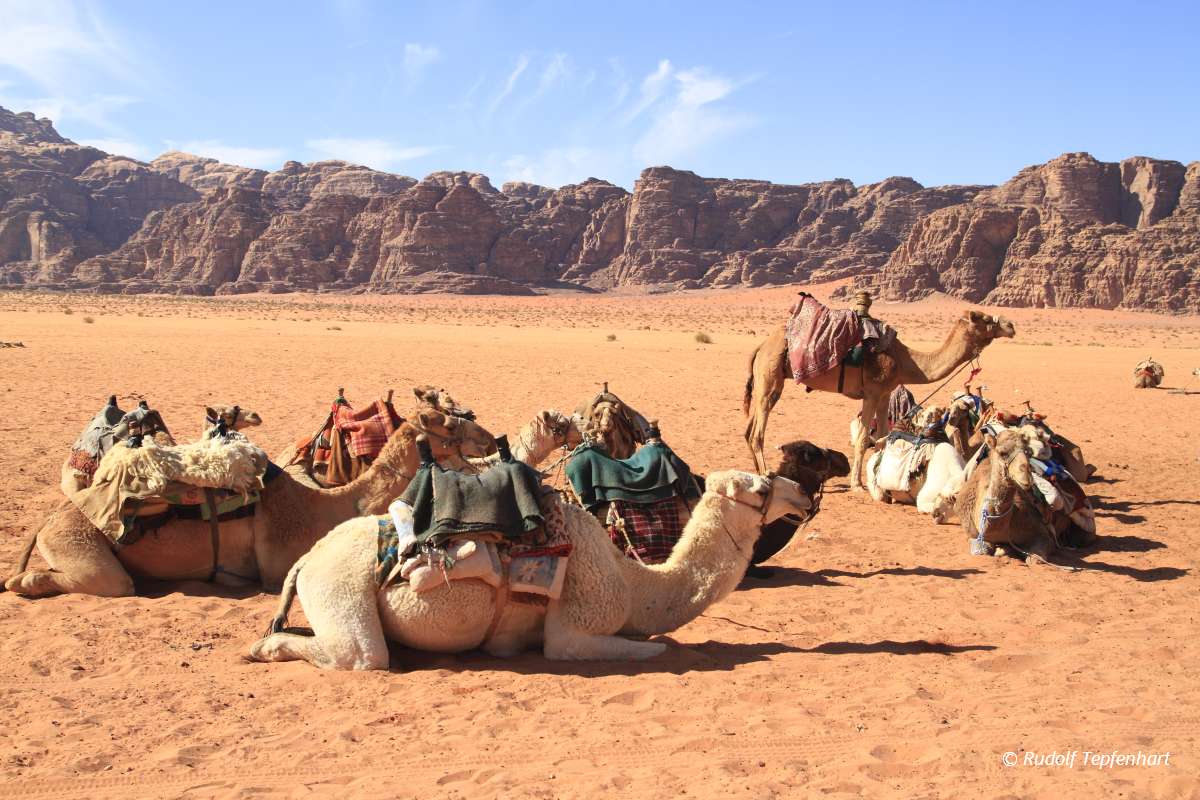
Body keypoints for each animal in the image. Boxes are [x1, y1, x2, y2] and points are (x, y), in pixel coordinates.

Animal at [5, 411, 496, 599]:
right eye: (450, 426)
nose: (491, 439)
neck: (323, 508)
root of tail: (46, 521)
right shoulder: (277, 566)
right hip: (82, 544)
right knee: (97, 581)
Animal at [247, 470, 814, 669]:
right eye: (762, 486)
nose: (804, 493)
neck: (633, 583)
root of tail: (307, 559)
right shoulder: (573, 631)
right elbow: (655, 647)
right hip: (341, 590)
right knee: (360, 656)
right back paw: (261, 649)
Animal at [744, 309, 1015, 489]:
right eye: (984, 319)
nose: (1010, 325)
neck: (906, 361)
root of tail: (760, 347)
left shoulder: (885, 393)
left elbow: (884, 436)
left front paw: (879, 477)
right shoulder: (872, 392)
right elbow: (864, 438)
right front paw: (857, 483)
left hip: (764, 381)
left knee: (749, 429)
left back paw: (758, 470)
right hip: (771, 377)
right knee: (758, 430)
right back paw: (767, 472)